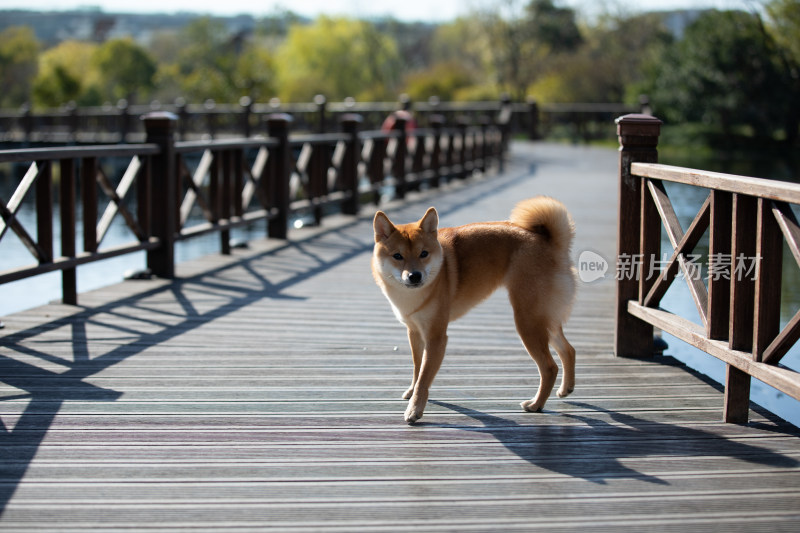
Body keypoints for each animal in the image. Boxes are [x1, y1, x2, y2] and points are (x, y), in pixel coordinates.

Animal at [372, 196, 580, 424]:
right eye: (397, 256)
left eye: (424, 254)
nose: (415, 275)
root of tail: (551, 243)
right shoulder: (415, 331)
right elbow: (418, 369)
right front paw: (411, 392)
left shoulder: (436, 337)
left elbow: (424, 377)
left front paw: (414, 409)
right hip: (545, 319)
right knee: (568, 350)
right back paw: (566, 388)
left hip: (527, 322)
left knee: (550, 367)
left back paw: (536, 404)